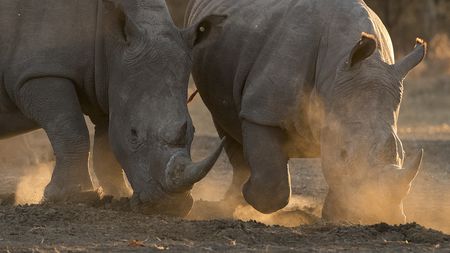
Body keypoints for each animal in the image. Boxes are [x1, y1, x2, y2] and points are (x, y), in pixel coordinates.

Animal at [0, 0, 225, 216]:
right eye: (134, 133)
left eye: (193, 131)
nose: (170, 206)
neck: (113, 42)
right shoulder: (39, 72)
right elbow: (71, 131)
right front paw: (72, 197)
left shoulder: (109, 81)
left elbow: (106, 144)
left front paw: (117, 195)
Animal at [185, 0, 426, 223]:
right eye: (344, 154)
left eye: (402, 153)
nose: (380, 217)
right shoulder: (261, 112)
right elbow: (273, 188)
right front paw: (250, 195)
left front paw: (333, 215)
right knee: (227, 126)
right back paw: (229, 202)